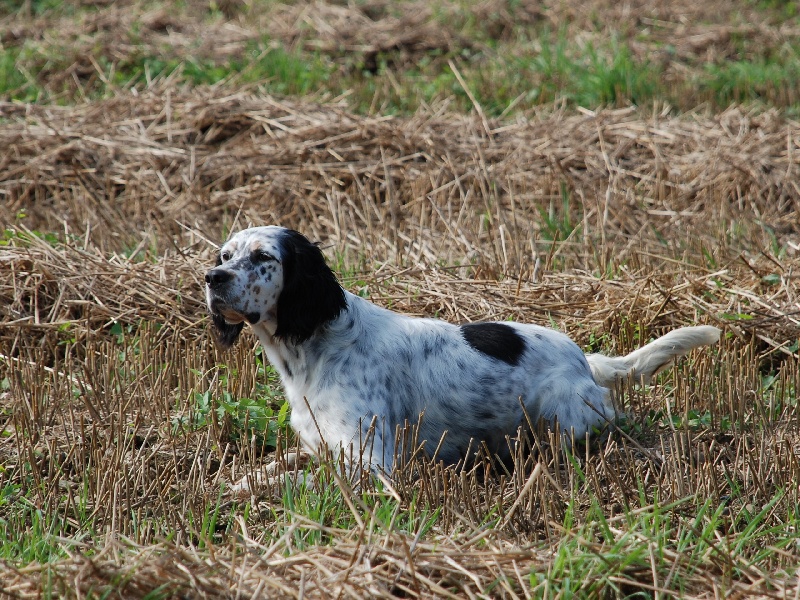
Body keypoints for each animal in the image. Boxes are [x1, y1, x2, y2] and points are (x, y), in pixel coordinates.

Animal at [205, 225, 720, 474]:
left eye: (263, 257)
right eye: (225, 256)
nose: (212, 278)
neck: (315, 347)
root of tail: (584, 360)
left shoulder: (372, 466)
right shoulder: (324, 446)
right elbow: (269, 471)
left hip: (560, 414)